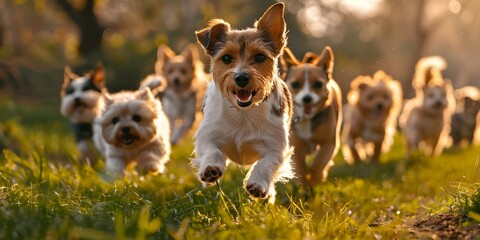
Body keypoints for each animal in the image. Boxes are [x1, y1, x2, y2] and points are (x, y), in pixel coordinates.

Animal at [191, 3, 292, 202]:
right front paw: (210, 169)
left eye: (260, 57)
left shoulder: (276, 145)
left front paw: (258, 184)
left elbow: (266, 163)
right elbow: (212, 150)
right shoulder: (208, 134)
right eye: (226, 58)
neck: (243, 112)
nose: (242, 78)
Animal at [280, 46, 344, 188]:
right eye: (295, 84)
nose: (307, 98)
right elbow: (301, 171)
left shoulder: (329, 143)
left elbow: (319, 163)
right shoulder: (296, 148)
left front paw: (315, 177)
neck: (306, 119)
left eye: (318, 85)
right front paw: (305, 187)